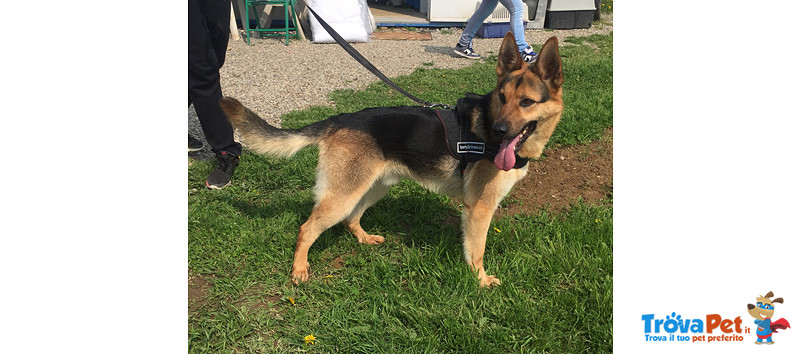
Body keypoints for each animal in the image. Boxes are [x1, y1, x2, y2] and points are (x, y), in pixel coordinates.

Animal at [220, 33, 564, 288]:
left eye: (526, 102)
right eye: (502, 99)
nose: (499, 130)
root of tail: (338, 119)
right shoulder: (479, 209)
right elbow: (476, 250)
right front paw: (479, 281)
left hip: (372, 188)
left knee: (351, 219)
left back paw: (364, 238)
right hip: (344, 194)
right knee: (307, 228)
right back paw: (299, 269)